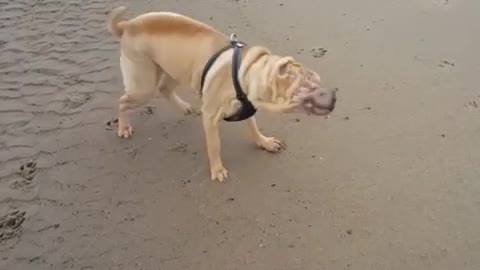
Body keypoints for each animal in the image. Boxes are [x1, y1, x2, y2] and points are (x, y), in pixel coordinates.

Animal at [107, 6, 336, 182]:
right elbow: (214, 145)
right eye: (308, 87)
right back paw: (124, 127)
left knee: (164, 88)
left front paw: (264, 142)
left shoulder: (246, 109)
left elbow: (253, 127)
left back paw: (184, 107)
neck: (246, 73)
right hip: (143, 85)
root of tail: (127, 25)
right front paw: (217, 170)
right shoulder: (210, 116)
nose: (334, 98)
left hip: (175, 69)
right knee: (122, 101)